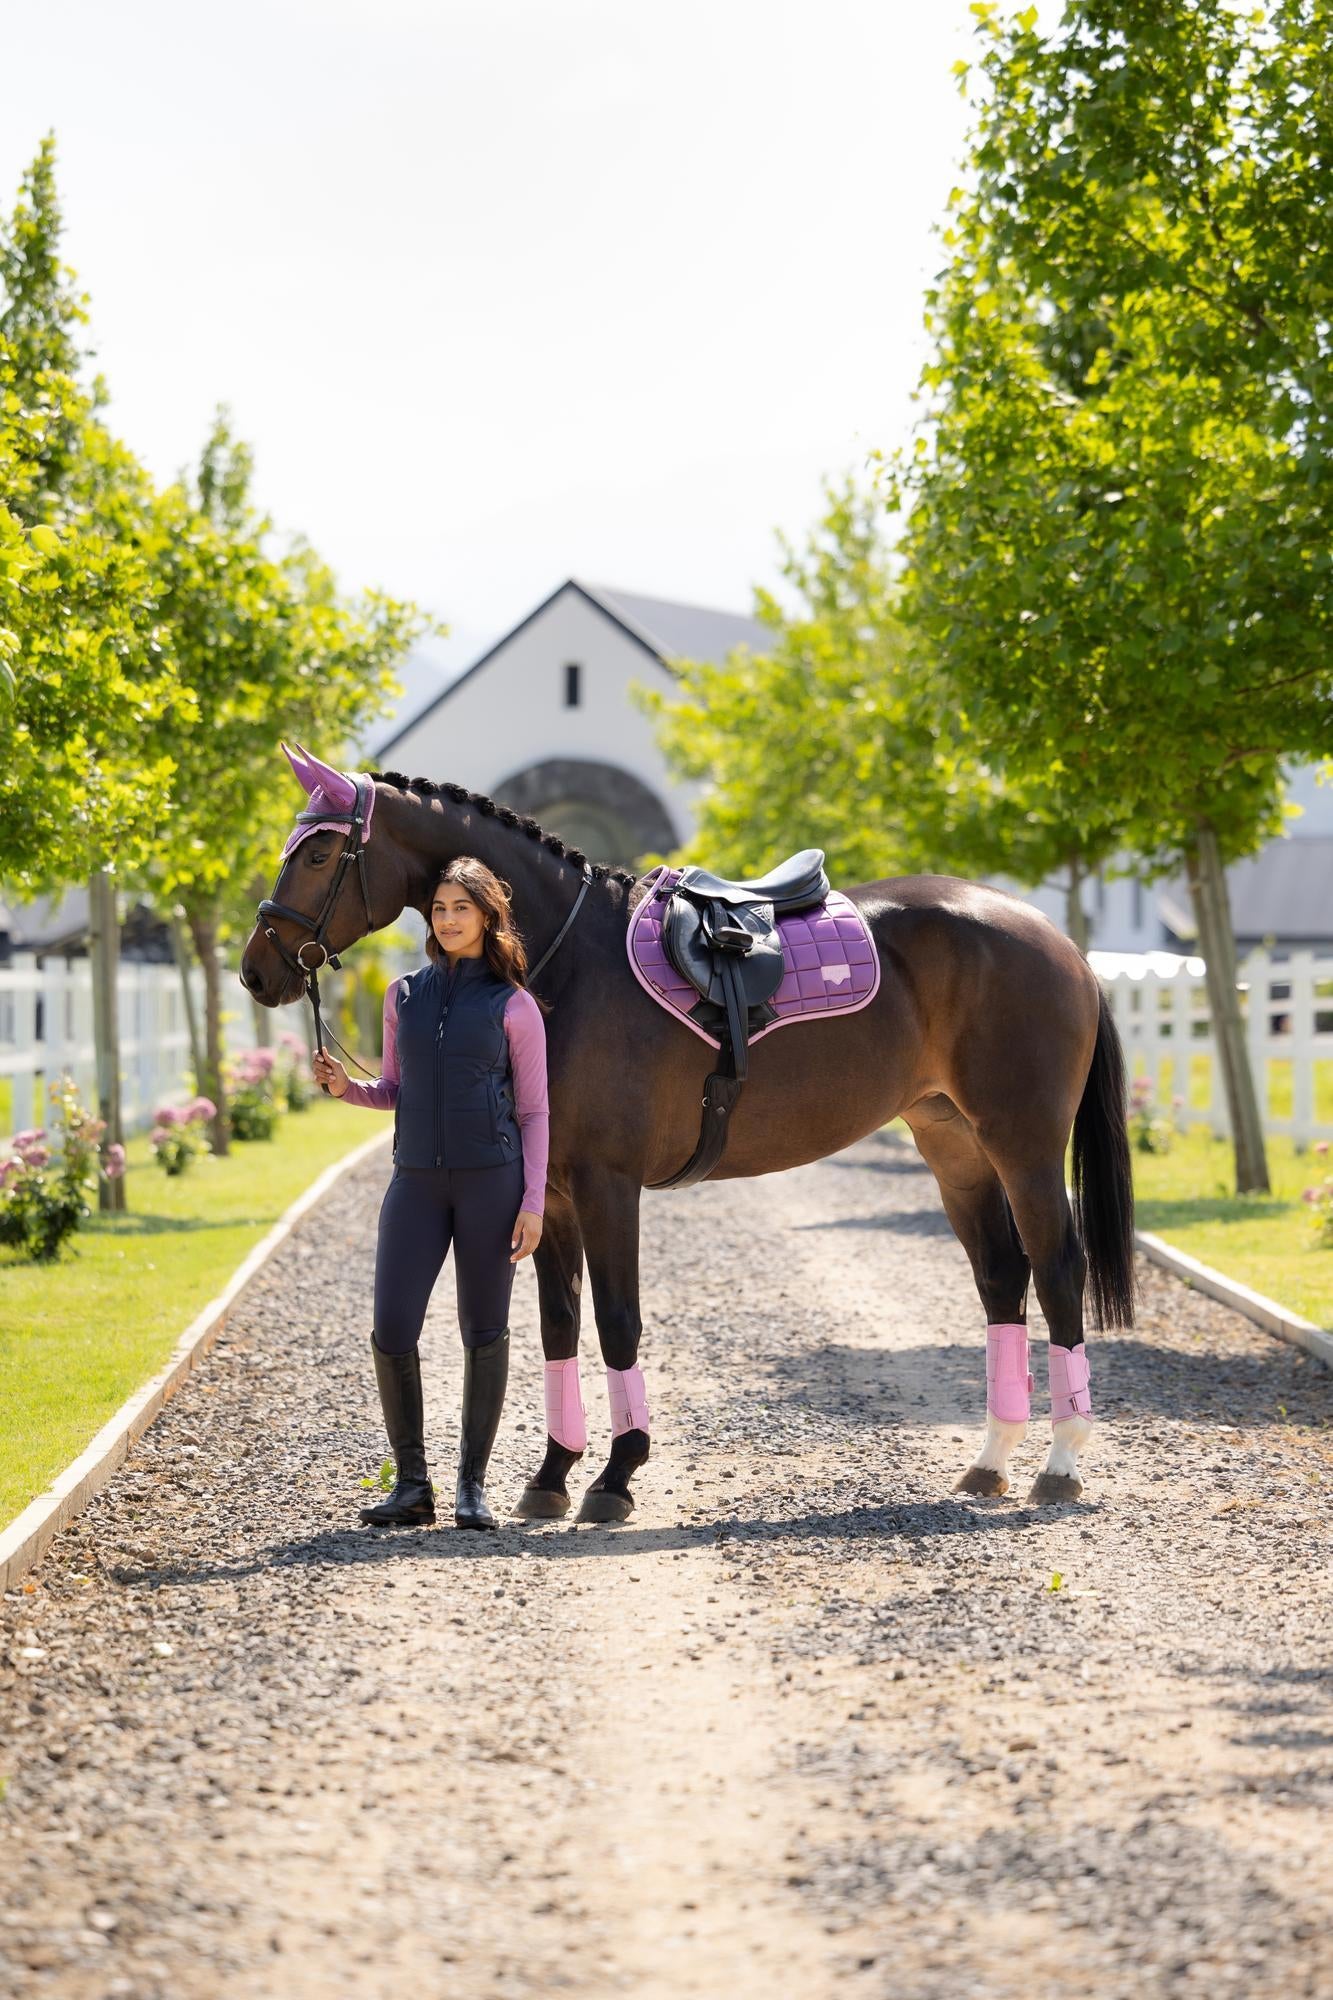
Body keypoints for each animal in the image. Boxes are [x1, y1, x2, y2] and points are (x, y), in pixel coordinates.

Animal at [240, 747, 1135, 1522]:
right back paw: (991, 1460)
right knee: (1001, 1278)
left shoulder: (607, 1185)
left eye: (318, 855)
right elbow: (559, 1326)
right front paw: (552, 1475)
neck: (568, 960)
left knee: (1057, 1271)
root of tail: (1057, 941)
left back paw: (1059, 1464)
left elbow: (616, 1321)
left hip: (1021, 1143)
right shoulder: (550, 1193)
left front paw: (615, 1475)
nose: (256, 968)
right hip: (953, 1146)